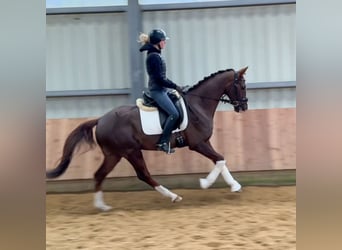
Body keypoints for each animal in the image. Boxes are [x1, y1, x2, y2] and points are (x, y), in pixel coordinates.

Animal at [46, 67, 248, 211]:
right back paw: (173, 196)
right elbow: (220, 159)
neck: (198, 105)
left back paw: (102, 206)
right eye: (242, 86)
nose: (244, 107)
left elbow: (220, 160)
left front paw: (234, 186)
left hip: (114, 154)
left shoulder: (205, 142)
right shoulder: (198, 144)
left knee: (100, 174)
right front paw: (206, 183)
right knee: (142, 174)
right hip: (129, 151)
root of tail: (101, 119)